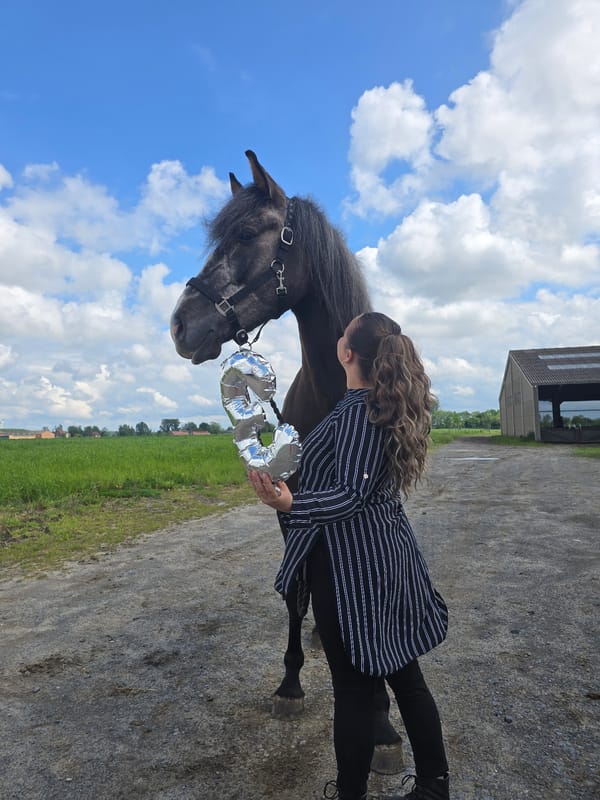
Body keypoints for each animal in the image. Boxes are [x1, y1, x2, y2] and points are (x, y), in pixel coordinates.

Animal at [170, 150, 403, 773]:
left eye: (248, 233)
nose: (180, 324)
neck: (338, 393)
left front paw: (384, 724)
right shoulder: (292, 507)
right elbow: (297, 593)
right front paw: (290, 684)